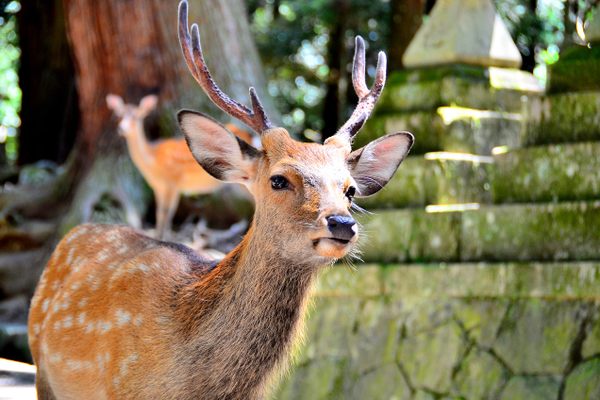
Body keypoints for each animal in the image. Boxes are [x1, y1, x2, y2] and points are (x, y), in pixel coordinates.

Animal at [106, 93, 255, 238]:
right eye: (119, 115)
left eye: (136, 116)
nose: (122, 128)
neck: (152, 161)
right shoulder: (159, 187)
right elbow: (160, 213)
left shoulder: (172, 183)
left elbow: (167, 213)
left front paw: (163, 237)